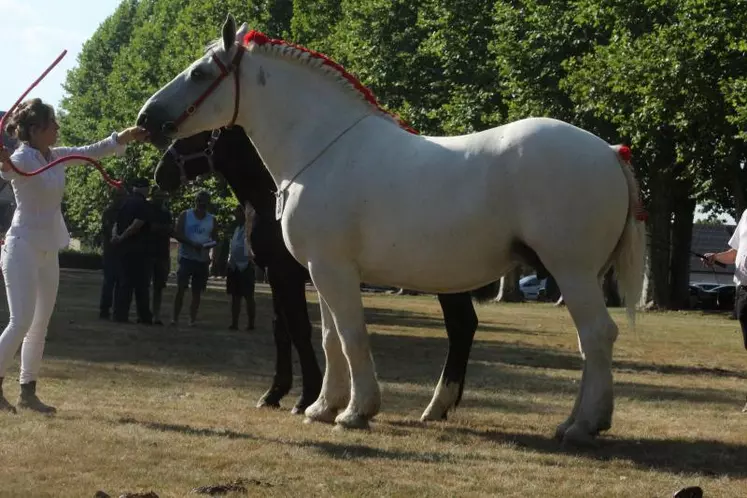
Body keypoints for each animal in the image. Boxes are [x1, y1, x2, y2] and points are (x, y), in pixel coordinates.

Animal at [156, 125, 482, 420]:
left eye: (194, 133)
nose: (161, 174)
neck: (273, 194)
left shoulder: (287, 274)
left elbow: (299, 329)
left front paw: (307, 397)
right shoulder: (275, 275)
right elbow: (281, 329)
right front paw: (275, 393)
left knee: (460, 326)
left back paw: (436, 405)